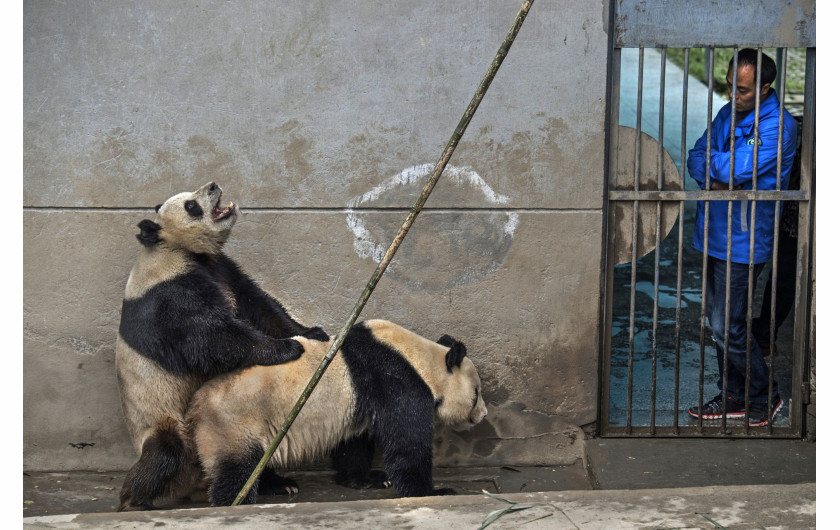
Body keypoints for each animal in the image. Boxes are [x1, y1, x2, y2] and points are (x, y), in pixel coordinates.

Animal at [184, 318, 486, 504]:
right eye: (476, 393)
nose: (483, 416)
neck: (419, 357)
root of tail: (195, 404)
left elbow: (354, 441)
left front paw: (367, 479)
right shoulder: (397, 380)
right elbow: (407, 443)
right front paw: (433, 491)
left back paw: (280, 484)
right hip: (234, 423)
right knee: (237, 470)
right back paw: (239, 501)